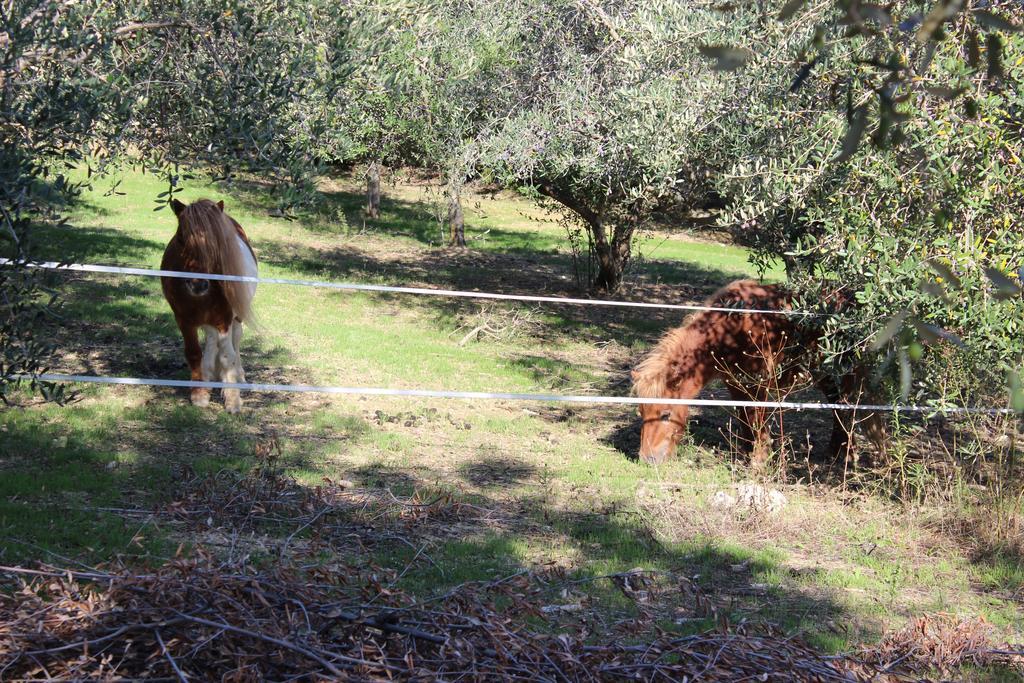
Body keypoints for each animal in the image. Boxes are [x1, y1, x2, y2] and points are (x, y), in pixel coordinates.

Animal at [159, 196, 258, 411]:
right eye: (181, 237)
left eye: (215, 242)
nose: (198, 284)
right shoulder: (184, 319)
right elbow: (194, 353)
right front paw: (199, 394)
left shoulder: (224, 319)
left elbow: (227, 356)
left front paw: (233, 400)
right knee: (212, 341)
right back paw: (209, 375)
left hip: (235, 316)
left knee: (236, 339)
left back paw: (239, 376)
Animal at [626, 280, 884, 466]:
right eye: (642, 412)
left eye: (665, 414)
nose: (646, 460)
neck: (731, 327)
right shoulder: (735, 385)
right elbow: (744, 417)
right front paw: (748, 452)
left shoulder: (759, 385)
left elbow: (756, 419)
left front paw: (759, 460)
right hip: (826, 375)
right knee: (837, 406)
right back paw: (835, 451)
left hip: (846, 374)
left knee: (848, 408)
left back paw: (848, 454)